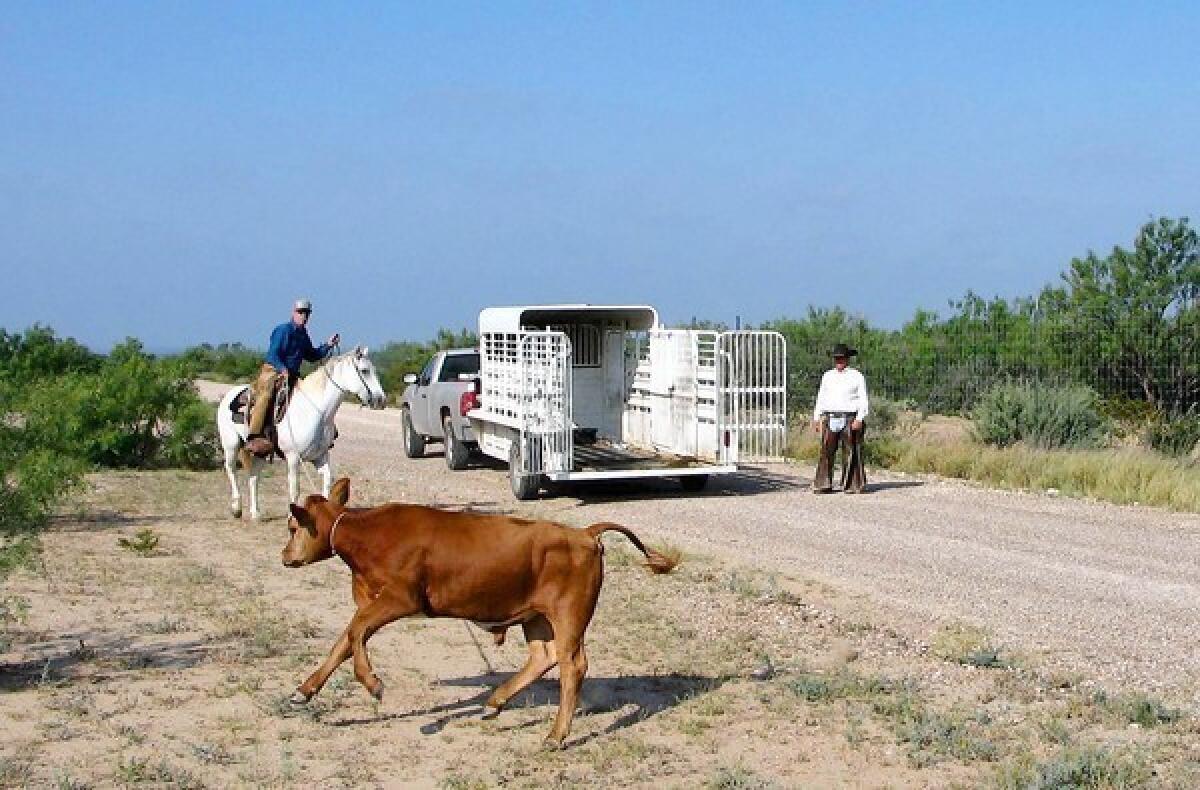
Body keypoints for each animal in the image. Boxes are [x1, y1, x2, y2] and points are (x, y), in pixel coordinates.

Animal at [216, 345, 384, 521]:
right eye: (364, 371)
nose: (381, 400)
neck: (317, 411)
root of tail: (230, 394)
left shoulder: (320, 456)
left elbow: (327, 481)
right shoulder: (293, 458)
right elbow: (295, 488)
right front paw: (292, 517)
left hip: (261, 452)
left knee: (254, 477)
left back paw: (255, 513)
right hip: (231, 444)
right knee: (231, 469)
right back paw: (236, 507)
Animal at [279, 477, 676, 739]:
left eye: (292, 528)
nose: (284, 557)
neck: (368, 535)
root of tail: (583, 533)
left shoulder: (402, 598)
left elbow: (357, 632)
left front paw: (373, 684)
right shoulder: (374, 602)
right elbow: (346, 639)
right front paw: (304, 691)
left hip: (569, 616)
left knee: (572, 666)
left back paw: (556, 735)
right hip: (537, 617)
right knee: (543, 657)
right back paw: (495, 703)